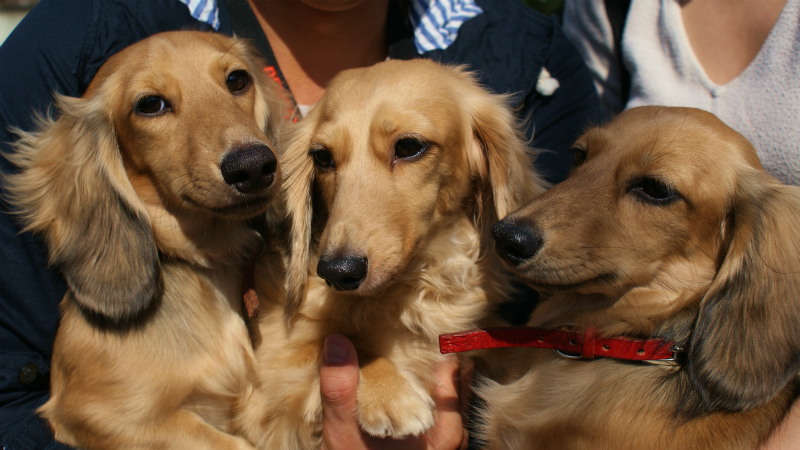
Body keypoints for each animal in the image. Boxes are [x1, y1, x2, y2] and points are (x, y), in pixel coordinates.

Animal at [4, 31, 285, 449]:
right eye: (150, 104)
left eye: (237, 80)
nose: (253, 167)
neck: (207, 267)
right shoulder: (99, 414)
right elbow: (226, 442)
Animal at [233, 59, 545, 449]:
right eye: (322, 157)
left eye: (409, 146)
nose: (337, 271)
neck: (415, 285)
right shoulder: (267, 386)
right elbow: (340, 344)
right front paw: (390, 392)